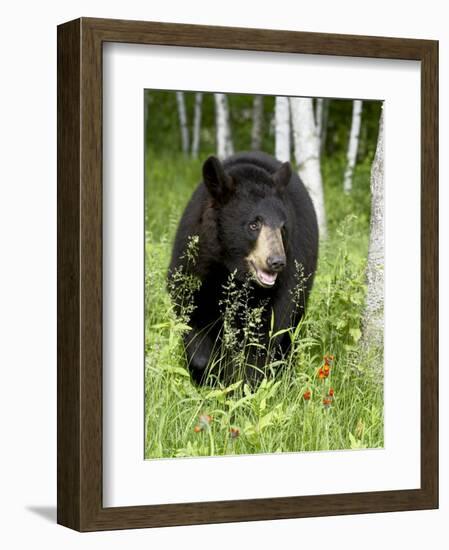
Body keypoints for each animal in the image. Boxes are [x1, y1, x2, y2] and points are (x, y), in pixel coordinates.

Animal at [168, 149, 318, 386]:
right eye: (254, 224)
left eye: (282, 228)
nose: (277, 261)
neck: (231, 270)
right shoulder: (195, 265)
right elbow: (191, 314)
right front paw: (208, 373)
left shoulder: (284, 285)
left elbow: (263, 339)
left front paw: (243, 384)